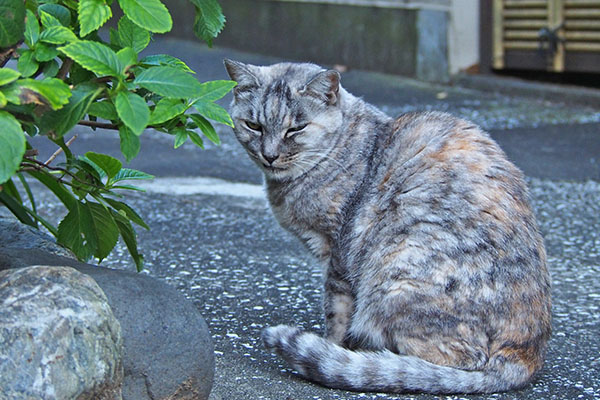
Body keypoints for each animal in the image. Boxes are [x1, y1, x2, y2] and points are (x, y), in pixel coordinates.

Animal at [223, 59, 552, 394]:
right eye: (254, 126)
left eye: (296, 128)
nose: (270, 155)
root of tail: (525, 355)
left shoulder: (338, 252)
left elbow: (336, 311)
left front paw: (331, 346)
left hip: (398, 269)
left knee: (453, 360)